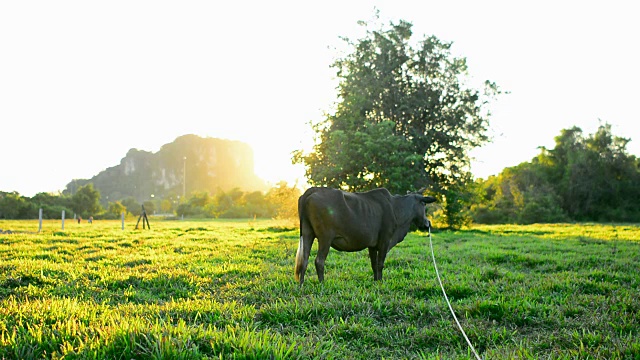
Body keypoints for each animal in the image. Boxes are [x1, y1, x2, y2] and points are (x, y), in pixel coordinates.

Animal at [294, 187, 436, 286]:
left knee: (304, 260)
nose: (427, 223)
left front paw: (376, 281)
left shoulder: (372, 245)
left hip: (307, 234)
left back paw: (301, 284)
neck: (397, 209)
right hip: (325, 237)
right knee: (319, 261)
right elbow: (380, 264)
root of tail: (312, 190)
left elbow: (374, 264)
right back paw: (322, 283)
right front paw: (380, 282)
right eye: (423, 204)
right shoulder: (385, 241)